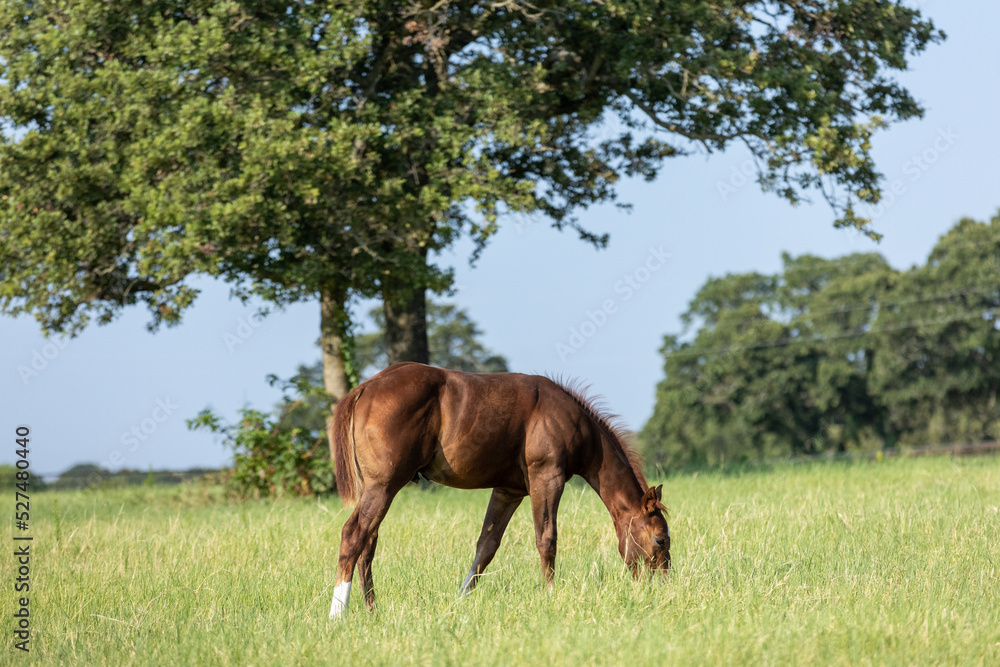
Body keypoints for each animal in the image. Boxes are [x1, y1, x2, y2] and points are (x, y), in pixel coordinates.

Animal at [328, 362, 670, 618]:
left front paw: (460, 600)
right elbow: (547, 539)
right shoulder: (547, 478)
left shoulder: (508, 490)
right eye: (660, 540)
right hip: (384, 487)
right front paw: (550, 596)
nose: (663, 588)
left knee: (368, 542)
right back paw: (337, 613)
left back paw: (371, 609)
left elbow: (486, 547)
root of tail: (366, 387)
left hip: (376, 489)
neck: (570, 420)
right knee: (353, 534)